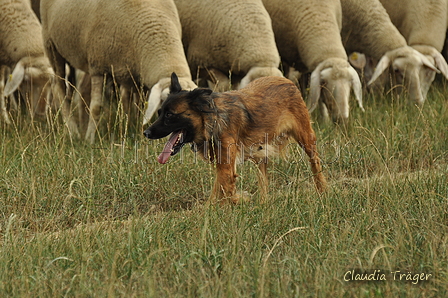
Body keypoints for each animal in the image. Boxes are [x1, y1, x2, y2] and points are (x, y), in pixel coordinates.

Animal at [39, 0, 197, 143]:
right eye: (164, 105)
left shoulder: (135, 75)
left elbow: (137, 105)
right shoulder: (98, 67)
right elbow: (96, 107)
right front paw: (89, 139)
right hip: (51, 46)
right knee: (59, 88)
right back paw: (73, 131)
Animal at [144, 71, 326, 205]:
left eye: (169, 115)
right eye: (160, 113)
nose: (146, 133)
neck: (212, 119)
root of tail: (287, 81)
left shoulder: (226, 168)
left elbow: (219, 194)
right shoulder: (222, 166)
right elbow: (220, 192)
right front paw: (236, 200)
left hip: (306, 138)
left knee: (315, 164)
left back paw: (323, 191)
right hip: (260, 152)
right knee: (263, 180)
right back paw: (263, 203)